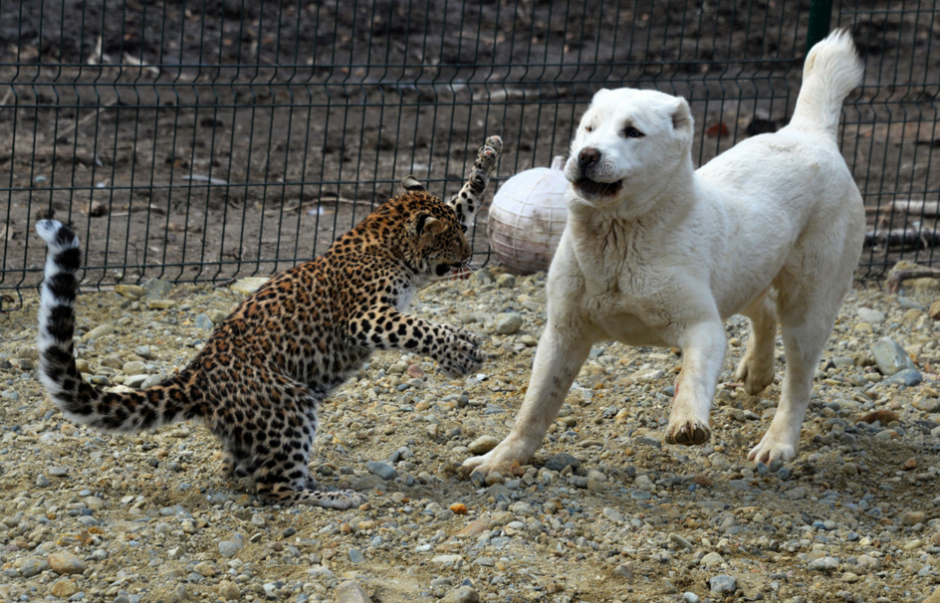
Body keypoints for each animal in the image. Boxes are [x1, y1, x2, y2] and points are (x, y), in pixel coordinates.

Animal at [35, 135, 502, 509]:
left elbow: (464, 198)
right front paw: (462, 351)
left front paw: (488, 156)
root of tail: (197, 376)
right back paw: (335, 496)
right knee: (272, 488)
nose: (470, 255)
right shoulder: (365, 316)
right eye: (454, 239)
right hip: (290, 405)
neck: (387, 237)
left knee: (241, 469)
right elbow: (421, 328)